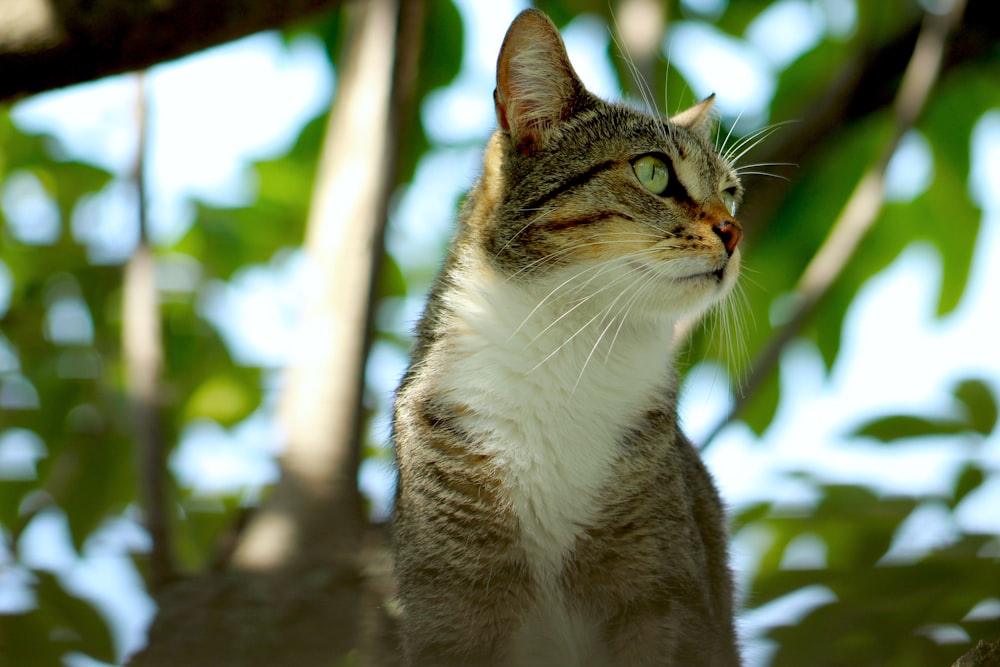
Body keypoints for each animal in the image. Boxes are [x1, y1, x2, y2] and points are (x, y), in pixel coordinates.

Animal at [390, 6, 744, 667]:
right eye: (654, 172)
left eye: (731, 192)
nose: (735, 232)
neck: (570, 352)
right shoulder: (451, 601)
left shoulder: (661, 595)